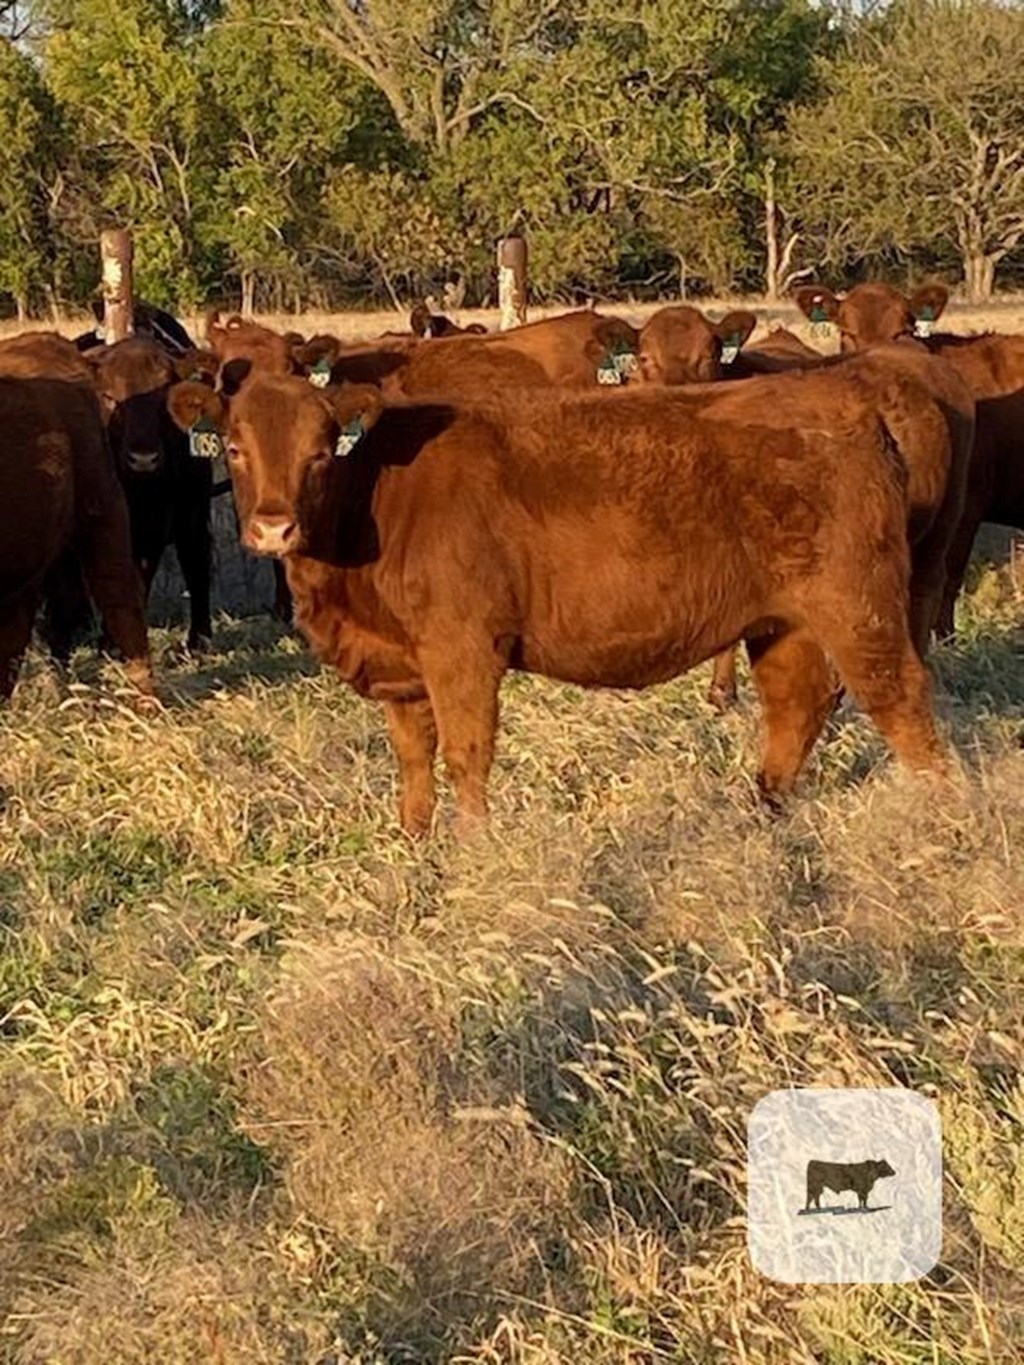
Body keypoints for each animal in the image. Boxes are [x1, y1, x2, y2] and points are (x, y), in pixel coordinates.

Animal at [166, 371, 944, 829]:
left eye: (323, 451)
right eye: (234, 447)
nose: (274, 526)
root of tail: (848, 398)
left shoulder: (462, 649)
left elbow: (466, 756)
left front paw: (474, 855)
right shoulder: (401, 665)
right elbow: (414, 761)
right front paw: (415, 843)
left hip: (858, 607)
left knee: (901, 703)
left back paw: (943, 820)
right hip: (783, 620)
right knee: (796, 704)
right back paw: (764, 809)